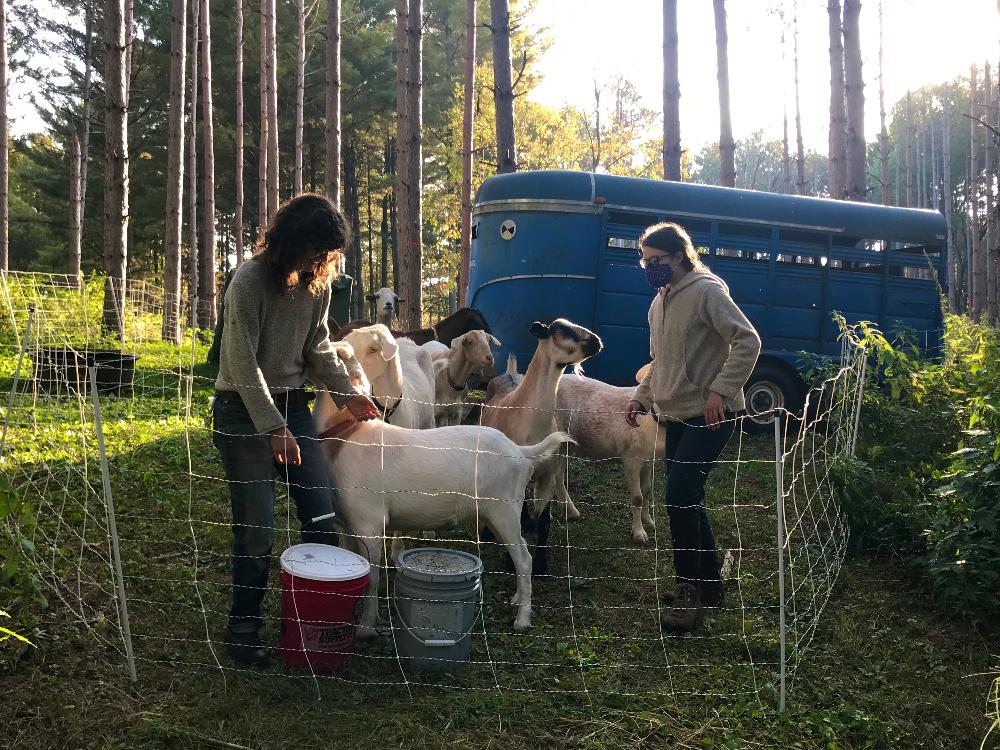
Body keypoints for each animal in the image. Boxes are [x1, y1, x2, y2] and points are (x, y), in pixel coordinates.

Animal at [486, 358, 660, 548]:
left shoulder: (648, 461)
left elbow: (647, 491)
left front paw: (649, 521)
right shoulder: (631, 458)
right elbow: (637, 497)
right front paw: (639, 533)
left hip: (562, 445)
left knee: (556, 478)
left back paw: (568, 511)